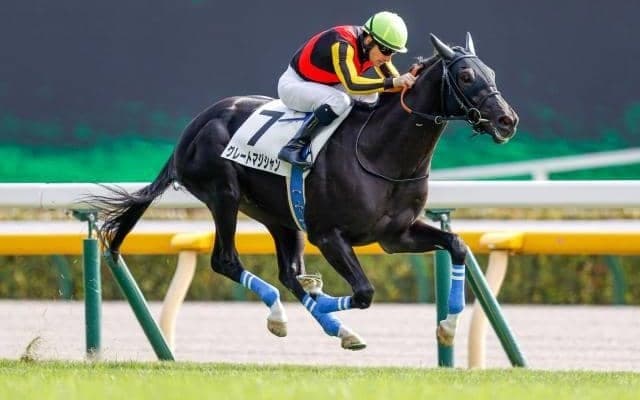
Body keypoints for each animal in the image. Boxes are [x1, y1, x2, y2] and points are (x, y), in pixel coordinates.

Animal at [91, 33, 518, 350]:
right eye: (466, 76)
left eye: (492, 72)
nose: (507, 120)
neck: (380, 150)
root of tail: (195, 125)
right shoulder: (328, 235)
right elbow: (364, 292)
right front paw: (325, 297)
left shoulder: (396, 235)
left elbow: (457, 245)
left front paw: (447, 327)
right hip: (223, 195)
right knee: (227, 261)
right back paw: (287, 315)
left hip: (279, 216)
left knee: (287, 273)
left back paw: (336, 328)